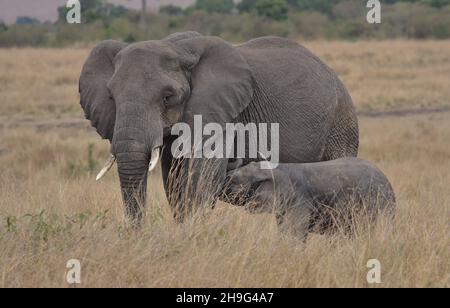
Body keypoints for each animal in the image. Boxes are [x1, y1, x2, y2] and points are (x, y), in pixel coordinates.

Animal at [78, 31, 358, 226]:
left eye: (168, 97)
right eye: (111, 97)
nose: (137, 234)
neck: (178, 47)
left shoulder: (221, 115)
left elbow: (201, 176)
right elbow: (174, 180)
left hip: (342, 122)